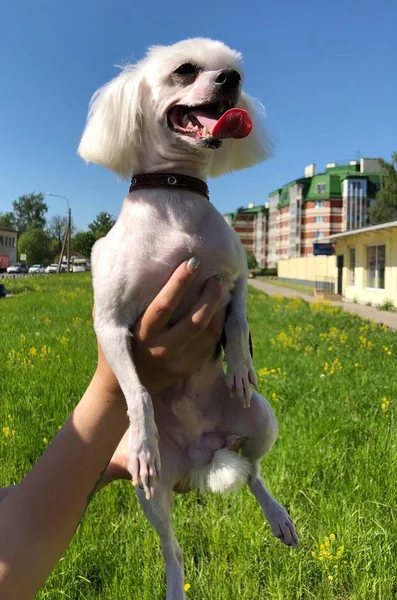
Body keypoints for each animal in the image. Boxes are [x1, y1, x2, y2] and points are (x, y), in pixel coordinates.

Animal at [79, 37, 296, 600]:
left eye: (237, 71)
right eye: (185, 70)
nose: (230, 81)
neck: (176, 195)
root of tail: (202, 455)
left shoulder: (235, 277)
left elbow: (237, 320)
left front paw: (239, 365)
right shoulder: (111, 325)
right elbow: (137, 393)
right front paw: (144, 436)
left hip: (261, 420)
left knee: (253, 471)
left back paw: (278, 516)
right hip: (151, 493)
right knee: (172, 549)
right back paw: (175, 583)